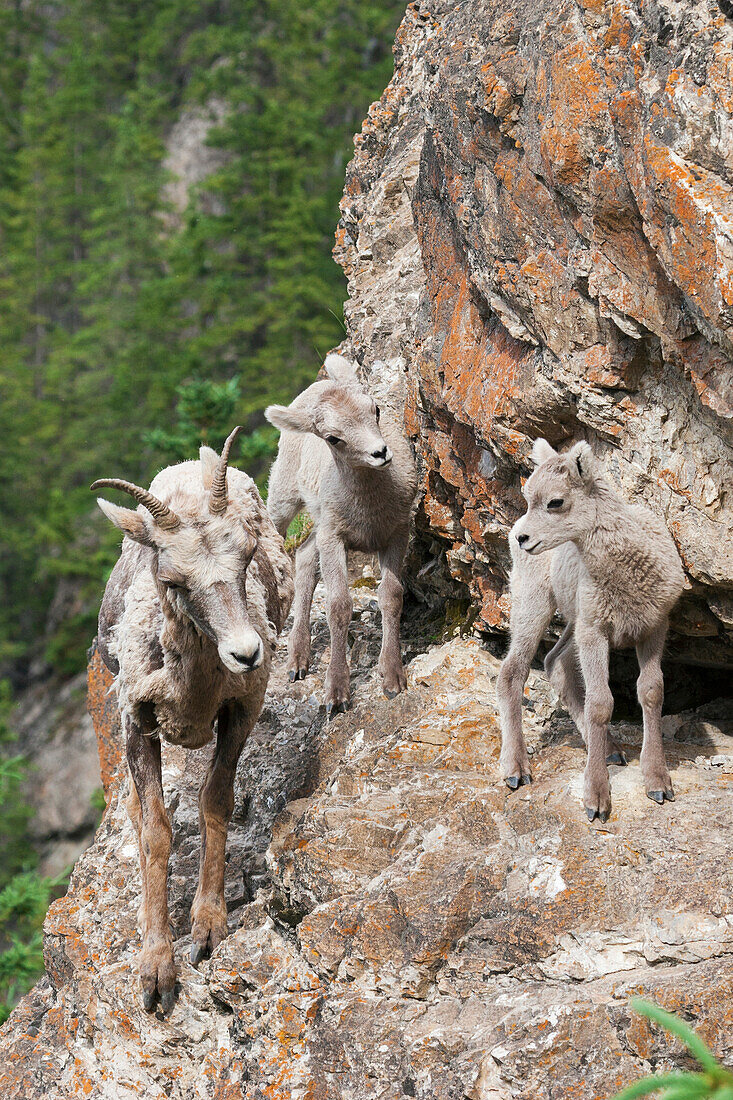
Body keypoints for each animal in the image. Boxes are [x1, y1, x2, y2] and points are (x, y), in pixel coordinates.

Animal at [93, 429, 292, 1012]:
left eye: (246, 555)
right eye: (172, 578)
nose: (247, 653)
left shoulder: (242, 710)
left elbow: (215, 801)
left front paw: (207, 928)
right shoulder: (136, 722)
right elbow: (155, 831)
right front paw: (157, 973)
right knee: (136, 814)